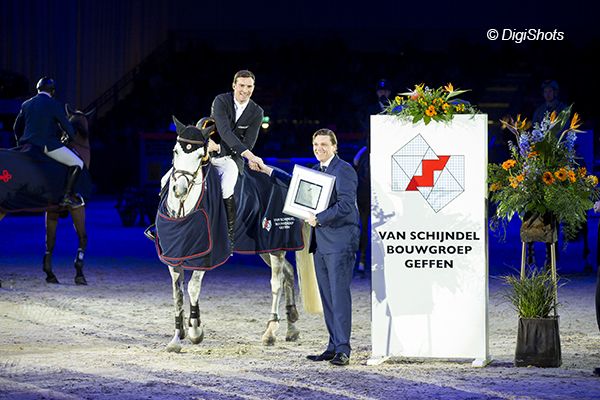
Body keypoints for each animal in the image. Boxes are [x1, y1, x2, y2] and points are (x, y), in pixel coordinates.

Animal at [0, 106, 94, 284]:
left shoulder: (52, 210)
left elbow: (50, 241)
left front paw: (50, 274)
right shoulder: (78, 206)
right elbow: (83, 237)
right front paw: (79, 275)